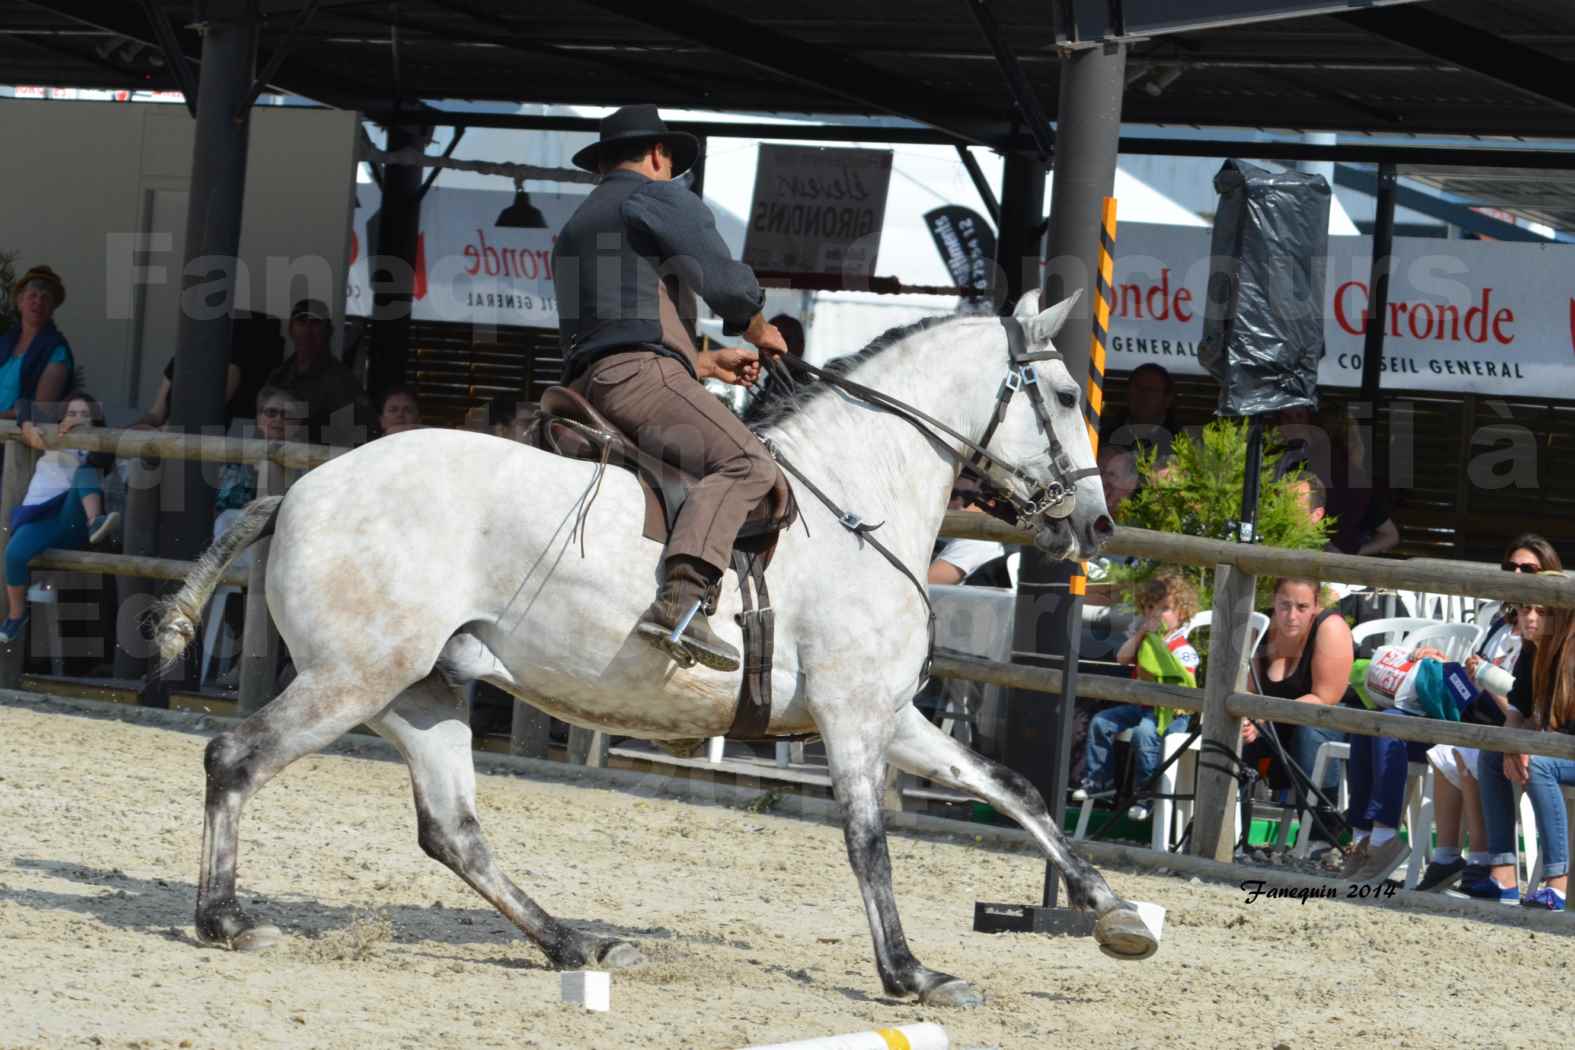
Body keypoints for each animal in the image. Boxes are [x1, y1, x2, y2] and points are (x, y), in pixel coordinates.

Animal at [153, 289, 1152, 1007]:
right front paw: (910, 974)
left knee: (454, 832)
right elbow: (868, 842)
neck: (858, 497)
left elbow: (1015, 790)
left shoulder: (888, 713)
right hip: (353, 679)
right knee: (234, 758)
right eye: (1068, 395)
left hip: (421, 693)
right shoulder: (851, 717)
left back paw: (575, 943)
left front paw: (1115, 915)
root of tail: (301, 489)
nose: (1096, 523)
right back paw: (228, 920)